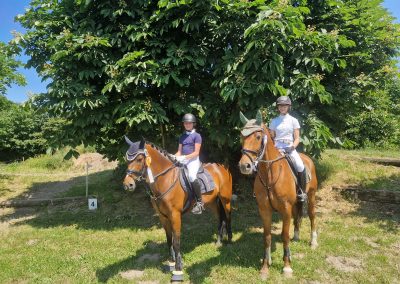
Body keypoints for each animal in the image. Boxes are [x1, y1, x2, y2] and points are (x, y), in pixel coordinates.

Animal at [123, 137, 233, 280]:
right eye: (127, 159)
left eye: (139, 159)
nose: (128, 185)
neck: (165, 180)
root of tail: (222, 167)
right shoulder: (163, 216)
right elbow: (169, 239)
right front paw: (171, 262)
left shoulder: (175, 215)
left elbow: (176, 241)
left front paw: (178, 269)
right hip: (212, 202)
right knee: (220, 217)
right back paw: (219, 241)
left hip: (226, 199)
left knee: (228, 216)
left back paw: (229, 241)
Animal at [238, 110, 318, 278]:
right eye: (242, 136)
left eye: (258, 137)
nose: (244, 166)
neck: (270, 174)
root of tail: (307, 158)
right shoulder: (264, 210)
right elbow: (267, 237)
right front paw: (265, 266)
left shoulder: (285, 210)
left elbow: (284, 235)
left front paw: (287, 267)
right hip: (295, 203)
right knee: (297, 216)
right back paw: (297, 236)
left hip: (312, 196)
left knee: (312, 216)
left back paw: (313, 242)